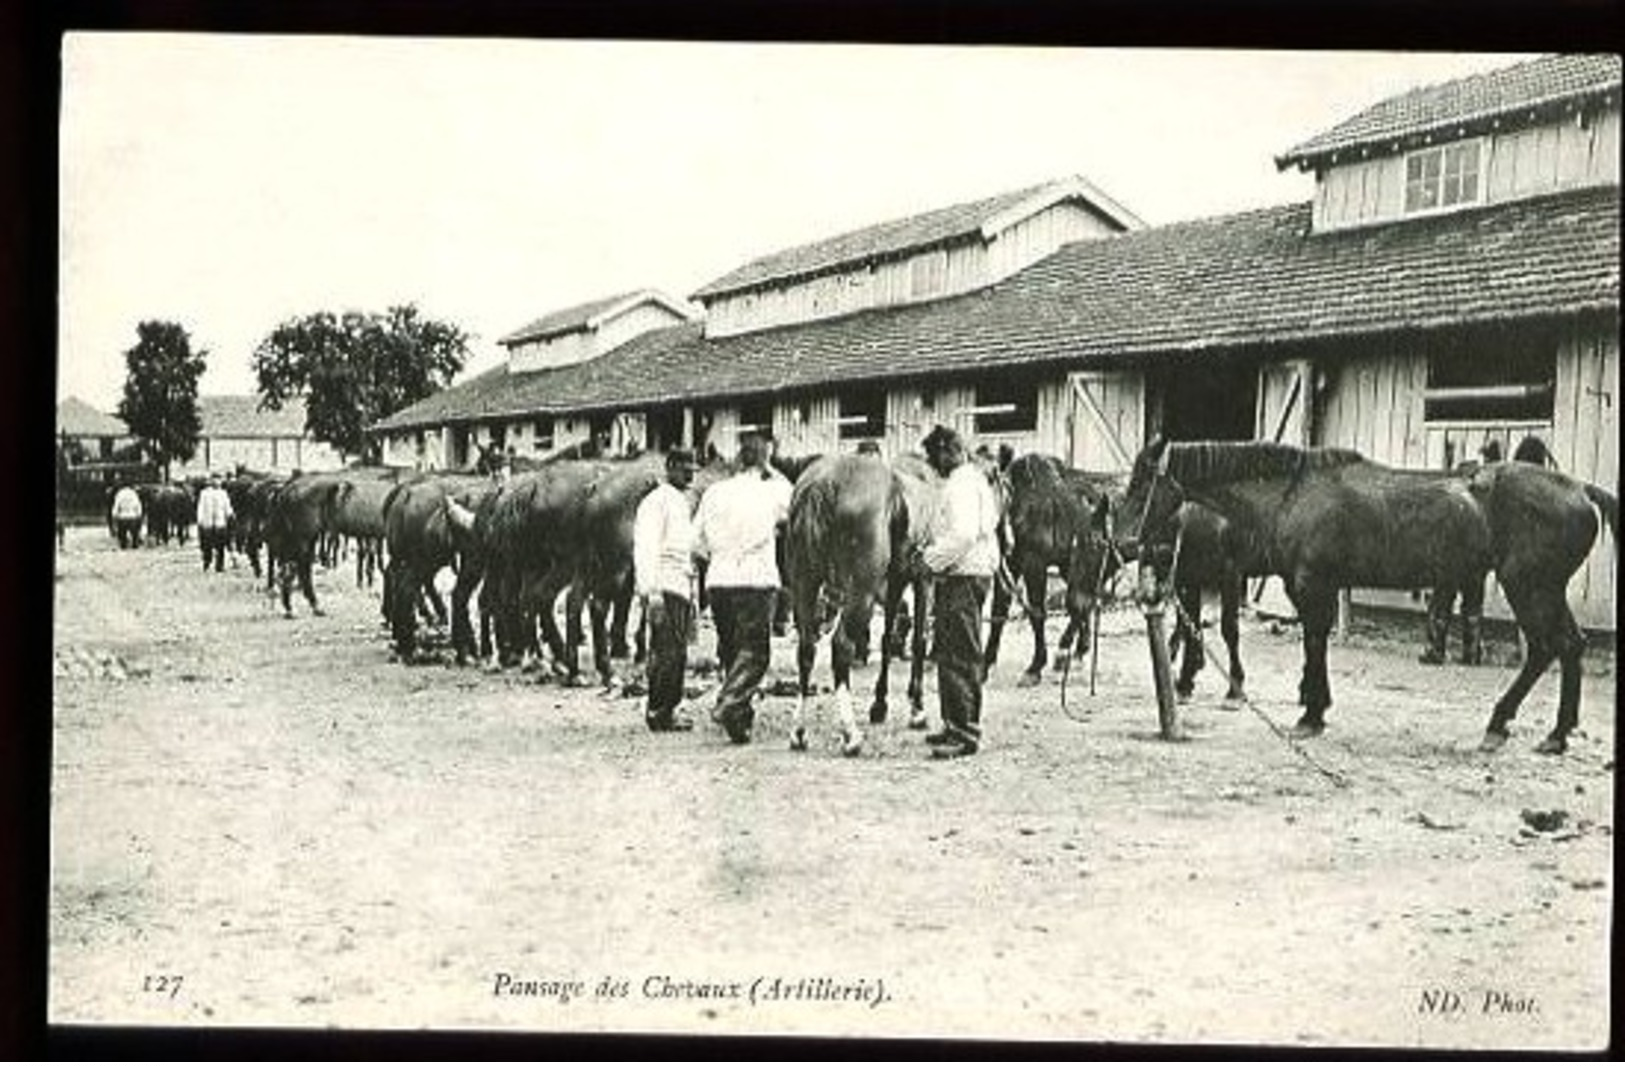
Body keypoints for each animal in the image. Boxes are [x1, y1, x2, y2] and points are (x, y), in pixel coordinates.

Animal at [780, 448, 936, 757]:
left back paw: (799, 732)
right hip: (860, 593)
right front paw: (917, 710)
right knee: (841, 646)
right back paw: (850, 734)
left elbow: (888, 639)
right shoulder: (922, 579)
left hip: (805, 584)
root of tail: (823, 482)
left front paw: (880, 705)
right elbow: (918, 641)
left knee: (806, 648)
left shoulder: (895, 582)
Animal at [1118, 438, 1612, 754]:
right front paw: (1314, 707)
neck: (1293, 495)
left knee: (1548, 648)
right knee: (1569, 646)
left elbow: (1314, 642)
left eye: (1142, 485)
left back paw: (1502, 725)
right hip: (1545, 589)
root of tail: (1580, 489)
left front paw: (1310, 716)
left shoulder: (1311, 585)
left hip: (1530, 586)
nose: (1122, 543)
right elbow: (1313, 644)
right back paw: (1556, 734)